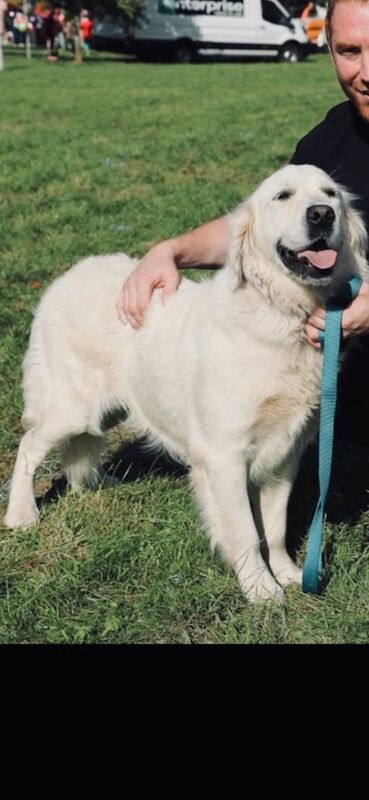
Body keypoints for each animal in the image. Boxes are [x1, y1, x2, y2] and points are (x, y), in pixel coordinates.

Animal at [5, 164, 368, 600]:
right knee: (30, 445)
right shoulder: (224, 455)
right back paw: (21, 514)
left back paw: (97, 482)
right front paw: (261, 590)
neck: (280, 315)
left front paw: (288, 574)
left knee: (81, 450)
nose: (321, 215)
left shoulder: (285, 453)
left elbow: (276, 528)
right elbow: (246, 532)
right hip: (73, 408)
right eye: (283, 196)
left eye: (330, 194)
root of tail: (66, 277)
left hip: (111, 407)